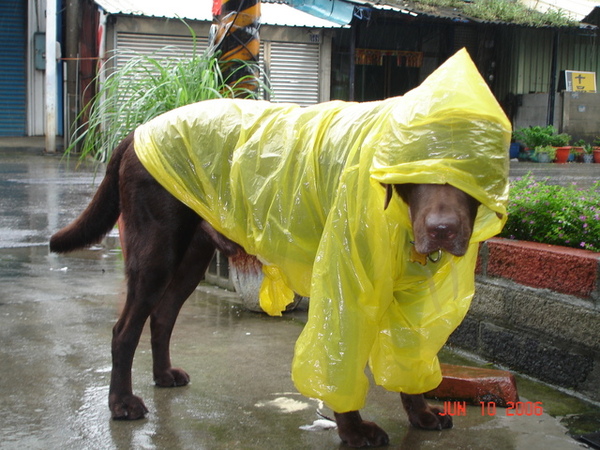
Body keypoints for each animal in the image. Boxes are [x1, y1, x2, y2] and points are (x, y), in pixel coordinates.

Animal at [51, 134, 480, 446]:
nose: (442, 229)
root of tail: (135, 134)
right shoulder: (343, 284)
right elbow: (340, 362)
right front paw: (354, 431)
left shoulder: (412, 298)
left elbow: (410, 360)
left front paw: (421, 415)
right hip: (156, 253)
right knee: (124, 330)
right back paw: (121, 404)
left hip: (192, 257)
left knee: (162, 316)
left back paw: (163, 375)